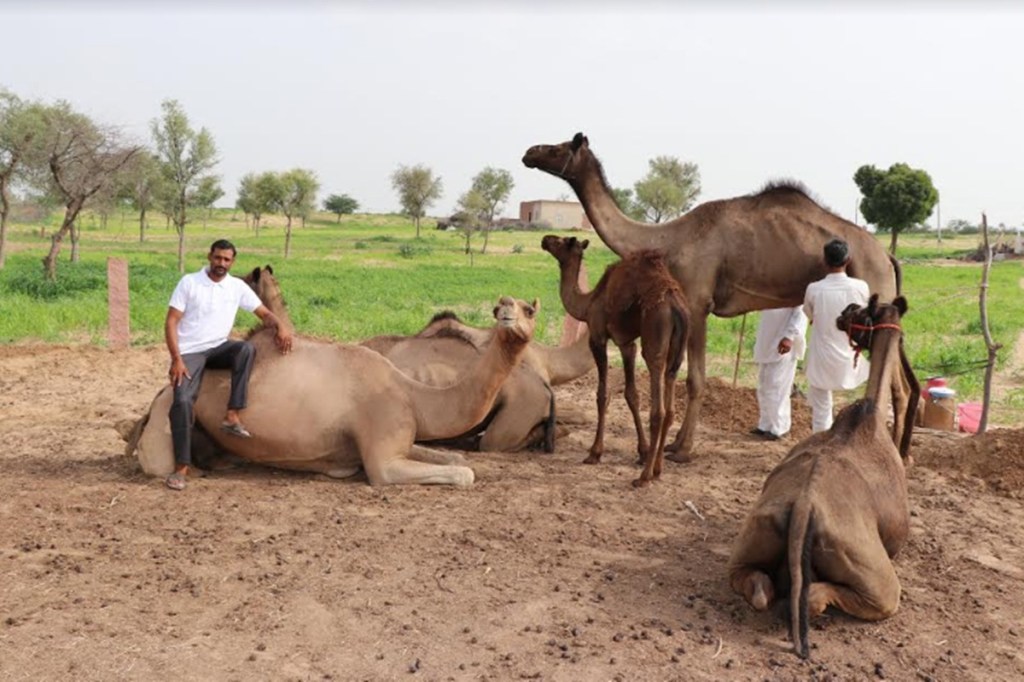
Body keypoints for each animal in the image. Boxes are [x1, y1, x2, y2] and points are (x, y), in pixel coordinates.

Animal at [124, 266, 538, 487]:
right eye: (500, 307)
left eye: (530, 309)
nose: (506, 312)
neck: (412, 394)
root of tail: (159, 394)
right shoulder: (382, 458)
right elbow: (464, 473)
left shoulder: (401, 438)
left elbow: (453, 458)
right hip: (167, 420)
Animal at [540, 235, 689, 487]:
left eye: (560, 242)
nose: (544, 239)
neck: (588, 302)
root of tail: (677, 306)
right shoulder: (627, 344)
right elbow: (631, 395)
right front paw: (642, 452)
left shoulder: (598, 338)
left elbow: (602, 395)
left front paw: (594, 453)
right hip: (676, 351)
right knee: (669, 406)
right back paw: (658, 469)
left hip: (654, 340)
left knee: (658, 409)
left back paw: (644, 477)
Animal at [727, 295, 911, 658]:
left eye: (861, 312)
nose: (843, 313)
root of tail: (803, 509)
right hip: (871, 569)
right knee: (831, 597)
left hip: (756, 531)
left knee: (758, 585)